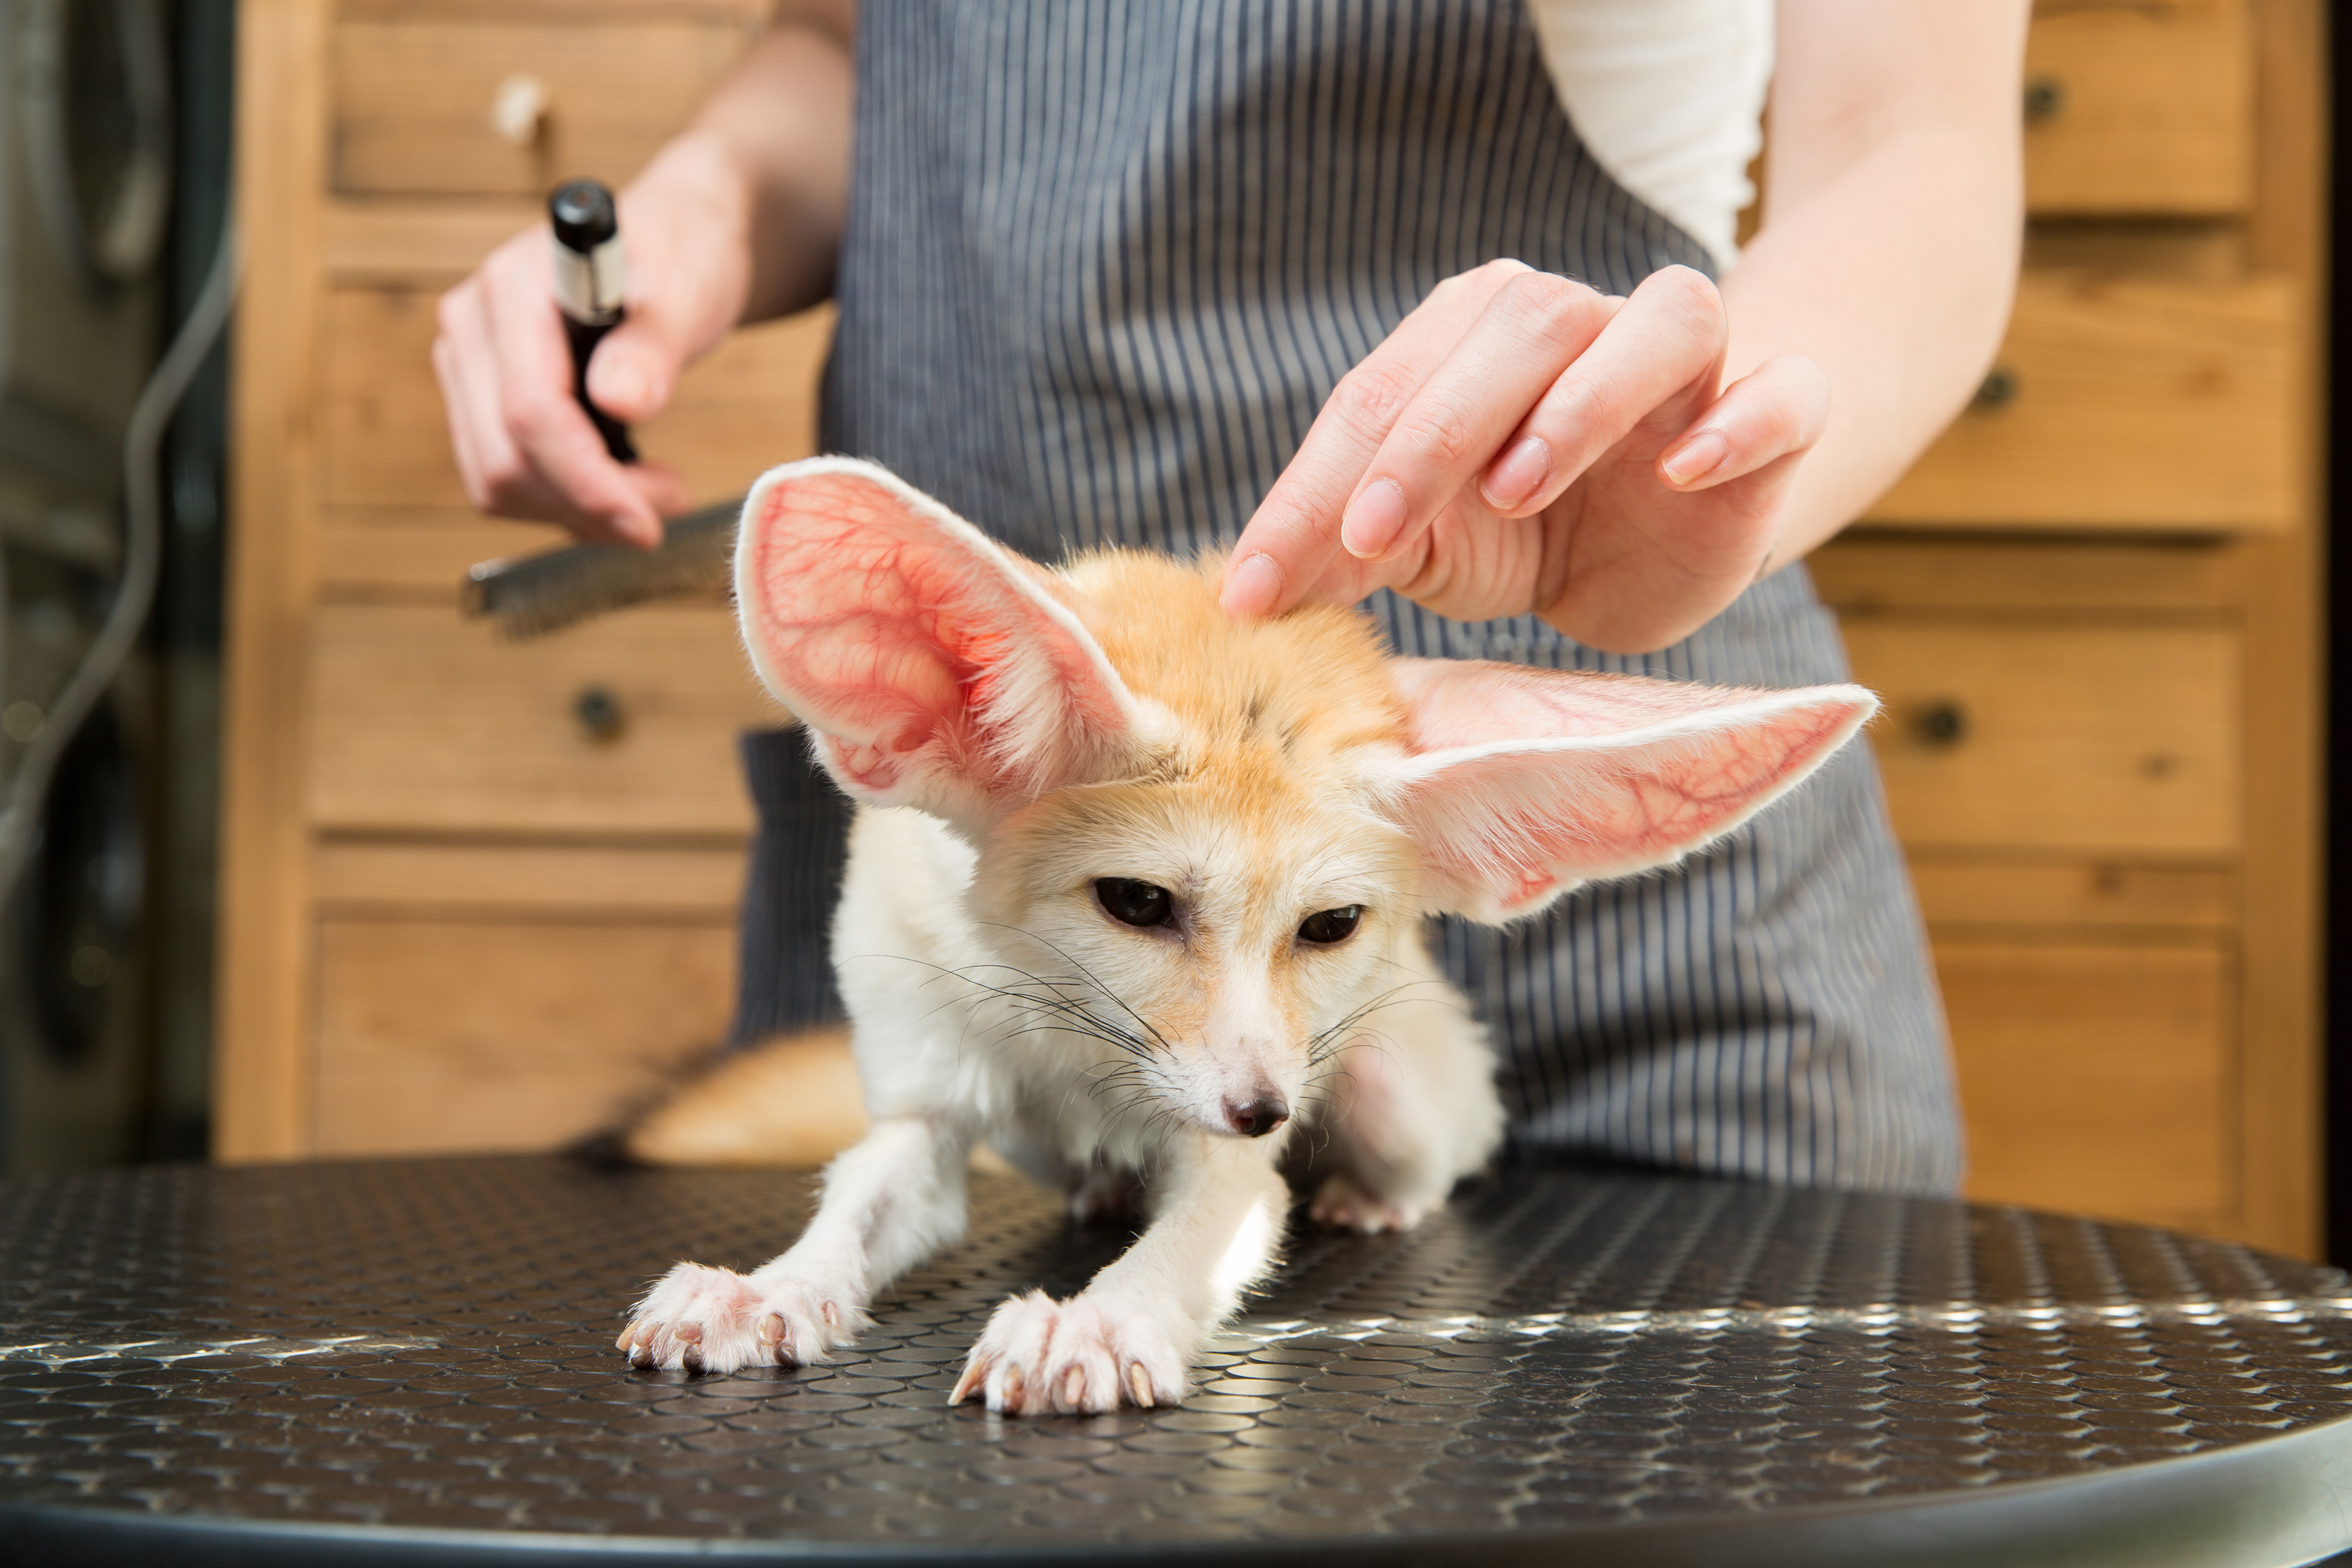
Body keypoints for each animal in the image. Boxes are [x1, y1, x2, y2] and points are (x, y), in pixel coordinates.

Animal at [621, 460, 1872, 1420]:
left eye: (1331, 925)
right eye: (1136, 904)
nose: (1270, 1111)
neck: (1073, 1041)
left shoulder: (1235, 1154)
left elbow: (1201, 1235)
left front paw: (1096, 1320)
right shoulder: (924, 1104)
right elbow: (855, 1207)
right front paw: (766, 1289)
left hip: (1387, 1093)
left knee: (1432, 1160)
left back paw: (1368, 1199)